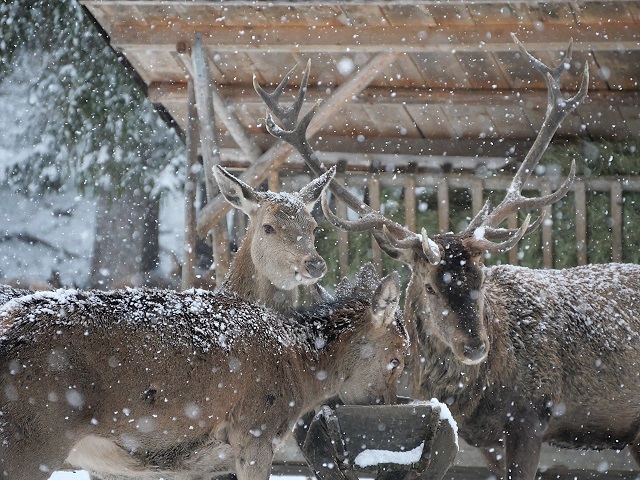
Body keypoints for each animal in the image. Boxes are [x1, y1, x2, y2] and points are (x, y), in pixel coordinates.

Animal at [254, 34, 640, 480]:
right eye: (429, 286)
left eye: (481, 278)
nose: (474, 346)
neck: (474, 393)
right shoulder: (486, 439)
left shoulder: (531, 415)